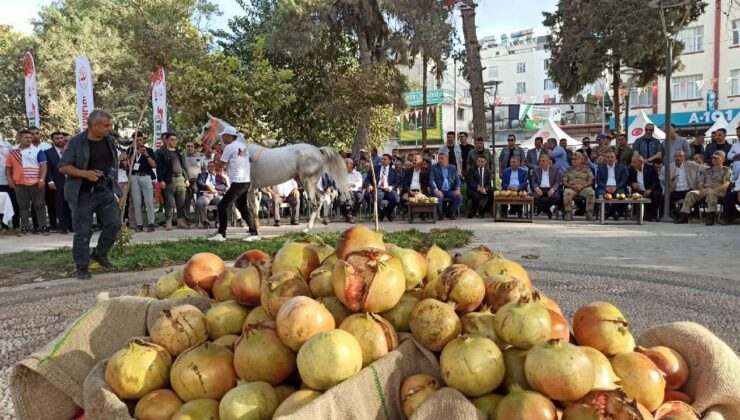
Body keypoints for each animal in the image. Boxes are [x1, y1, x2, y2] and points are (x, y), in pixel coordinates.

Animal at [197, 115, 346, 233]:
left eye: (206, 128)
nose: (198, 145)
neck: (242, 150)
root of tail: (318, 150)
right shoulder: (252, 190)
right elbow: (253, 209)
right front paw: (253, 228)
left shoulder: (249, 189)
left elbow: (252, 209)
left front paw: (254, 229)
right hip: (305, 182)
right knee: (321, 197)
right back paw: (321, 221)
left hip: (308, 182)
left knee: (315, 203)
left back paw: (307, 228)